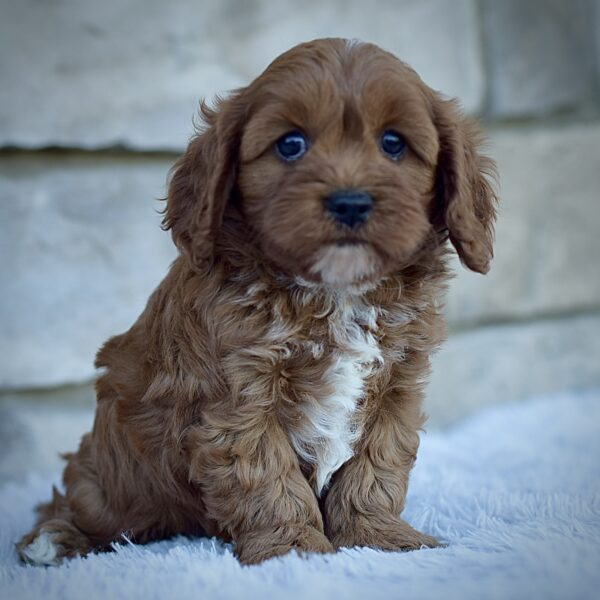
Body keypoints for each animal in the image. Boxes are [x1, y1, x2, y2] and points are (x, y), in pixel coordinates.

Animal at [17, 38, 496, 568]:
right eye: (290, 144)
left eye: (393, 143)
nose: (349, 202)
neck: (335, 290)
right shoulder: (237, 397)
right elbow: (266, 474)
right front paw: (294, 547)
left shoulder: (396, 387)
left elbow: (376, 467)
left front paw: (379, 538)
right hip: (110, 481)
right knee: (79, 501)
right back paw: (53, 538)